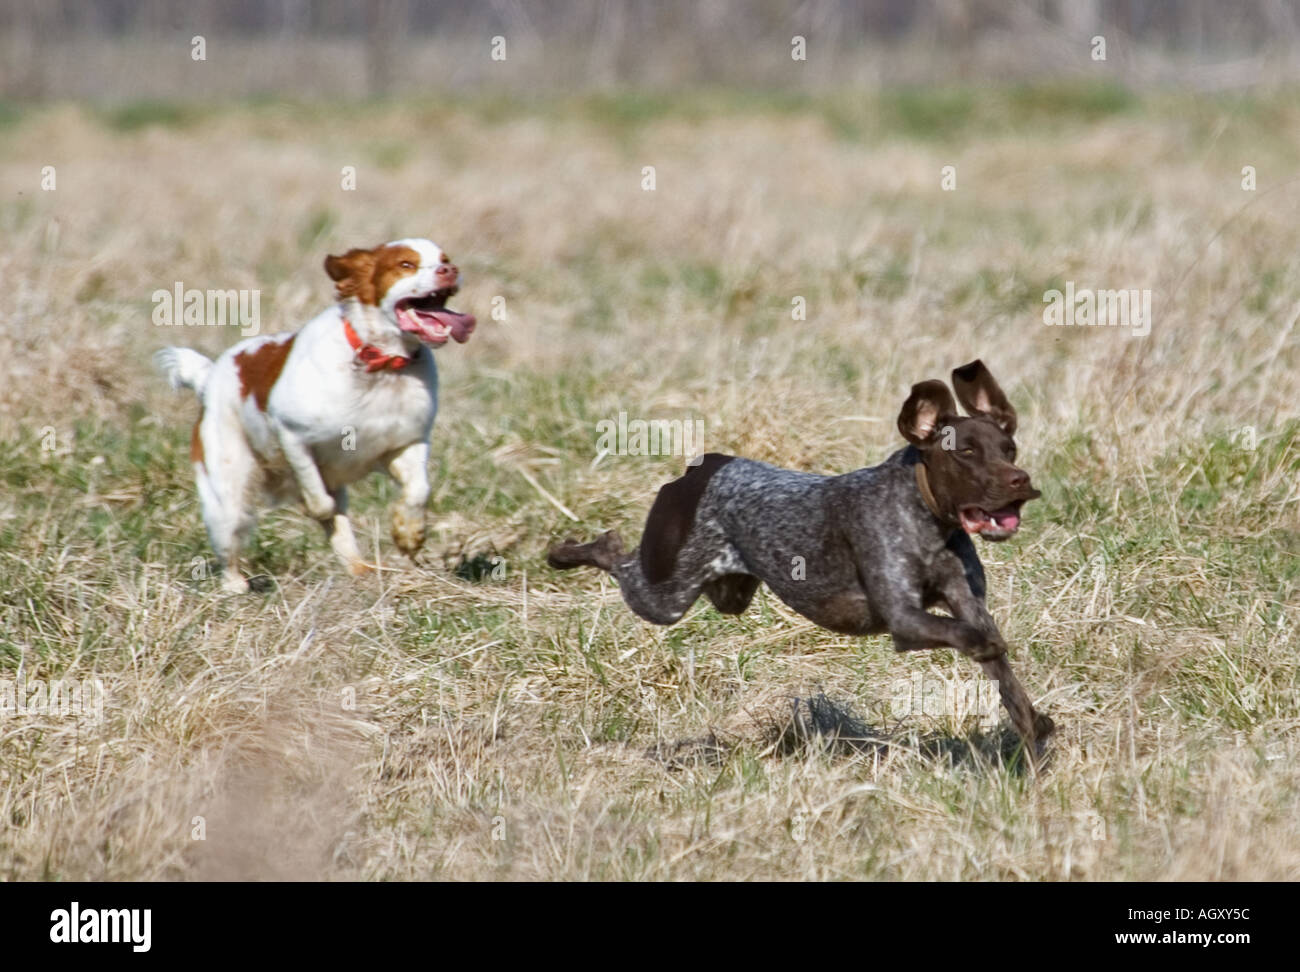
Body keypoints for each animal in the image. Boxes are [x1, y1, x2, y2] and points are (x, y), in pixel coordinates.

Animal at [157, 241, 473, 592]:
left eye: (444, 259)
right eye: (406, 264)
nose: (450, 270)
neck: (379, 366)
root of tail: (210, 378)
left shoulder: (406, 443)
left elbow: (418, 490)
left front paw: (409, 534)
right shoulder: (291, 433)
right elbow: (318, 497)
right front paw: (314, 507)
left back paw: (362, 570)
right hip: (228, 495)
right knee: (232, 543)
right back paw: (236, 585)